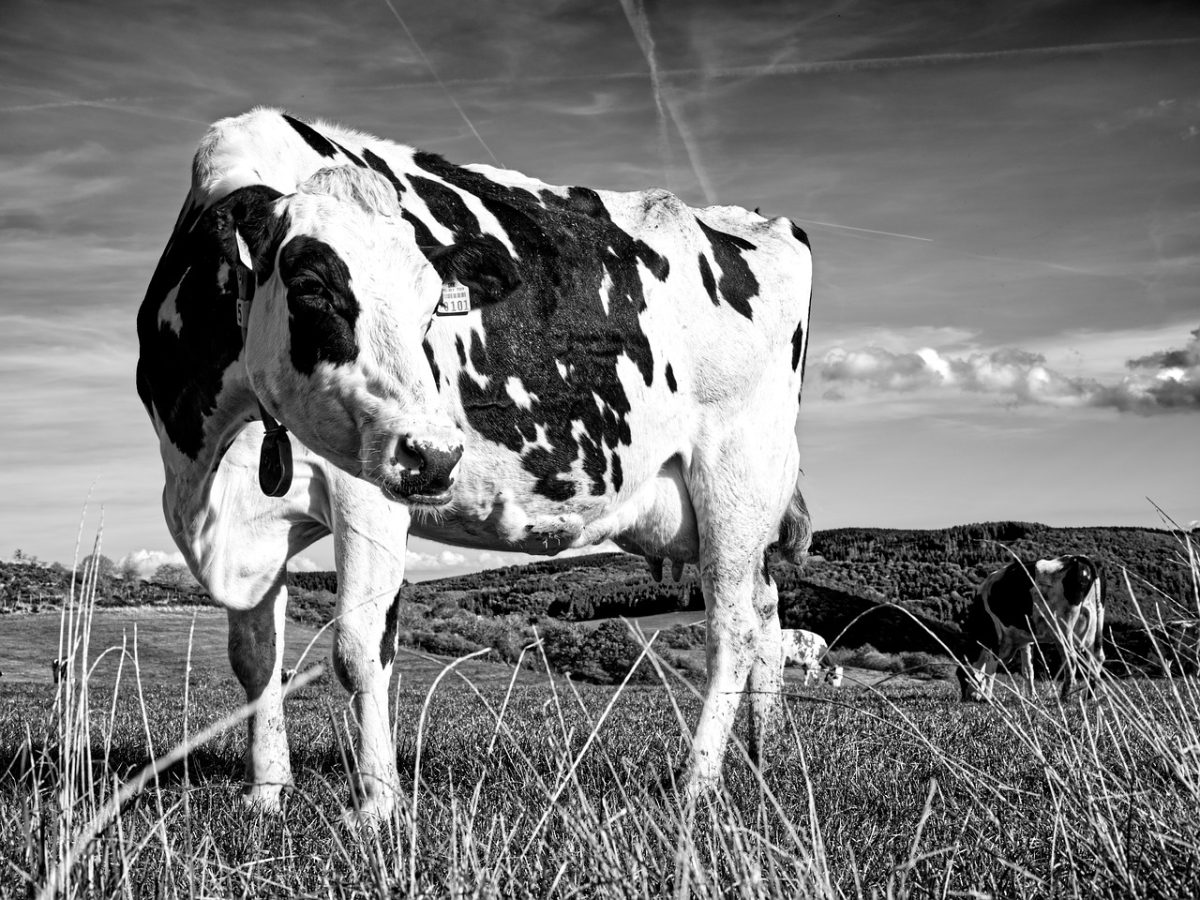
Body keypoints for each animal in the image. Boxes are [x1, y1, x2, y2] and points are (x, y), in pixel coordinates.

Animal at [136, 109, 814, 820]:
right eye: (310, 286)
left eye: (434, 302)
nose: (434, 454)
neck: (212, 462)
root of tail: (758, 221)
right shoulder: (250, 523)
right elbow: (255, 659)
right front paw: (266, 793)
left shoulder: (366, 493)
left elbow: (359, 649)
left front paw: (377, 806)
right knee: (766, 611)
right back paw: (763, 761)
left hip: (739, 476)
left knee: (733, 630)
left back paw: (697, 783)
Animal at [957, 555, 1105, 702]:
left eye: (961, 677)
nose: (965, 699)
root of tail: (1078, 558)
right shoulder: (1024, 639)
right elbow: (1027, 670)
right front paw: (1032, 697)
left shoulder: (995, 637)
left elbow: (990, 670)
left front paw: (987, 697)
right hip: (1096, 621)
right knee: (1096, 658)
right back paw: (1089, 697)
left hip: (1063, 627)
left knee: (1071, 660)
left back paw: (1064, 696)